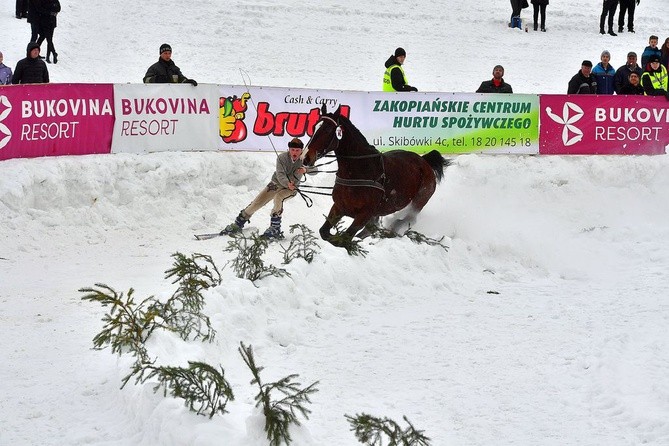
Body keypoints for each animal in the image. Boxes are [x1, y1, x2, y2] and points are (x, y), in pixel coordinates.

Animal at [304, 104, 454, 247]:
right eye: (314, 127)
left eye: (327, 130)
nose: (305, 157)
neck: (360, 171)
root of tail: (424, 161)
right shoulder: (339, 207)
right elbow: (324, 232)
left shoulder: (364, 214)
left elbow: (343, 239)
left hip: (418, 202)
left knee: (406, 220)